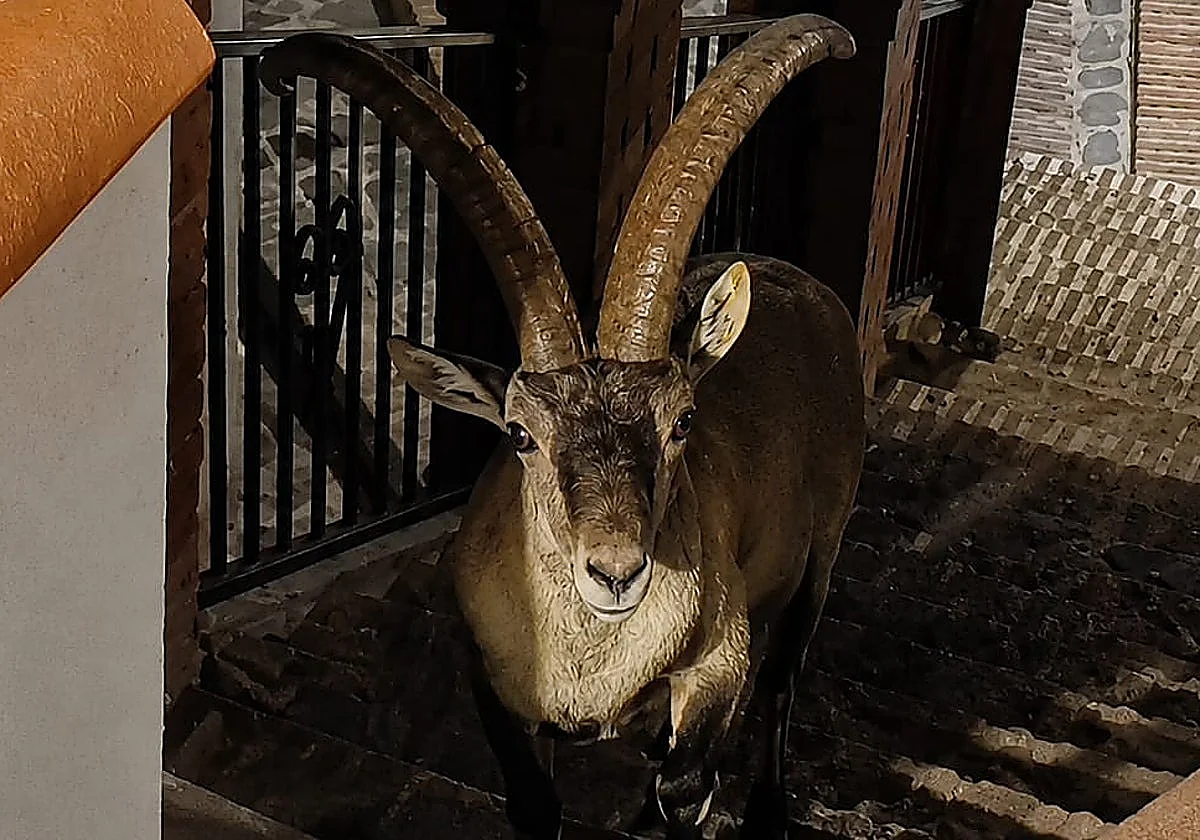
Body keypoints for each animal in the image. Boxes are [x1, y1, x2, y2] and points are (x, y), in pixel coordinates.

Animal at [261, 15, 864, 839]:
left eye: (684, 421)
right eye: (520, 434)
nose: (616, 572)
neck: (593, 669)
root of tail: (802, 284)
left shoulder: (719, 660)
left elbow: (691, 777)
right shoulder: (496, 683)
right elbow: (536, 801)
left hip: (824, 546)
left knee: (783, 678)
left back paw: (766, 808)